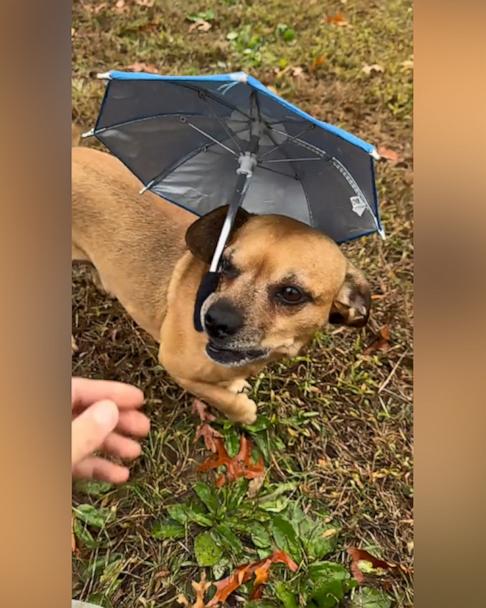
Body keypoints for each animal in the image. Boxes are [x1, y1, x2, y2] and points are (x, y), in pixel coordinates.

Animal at [72, 147, 370, 422]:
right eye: (224, 263)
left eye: (291, 293)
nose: (214, 321)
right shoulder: (174, 364)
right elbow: (222, 398)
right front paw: (242, 411)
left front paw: (233, 384)